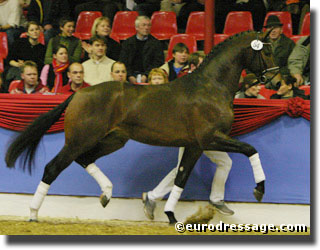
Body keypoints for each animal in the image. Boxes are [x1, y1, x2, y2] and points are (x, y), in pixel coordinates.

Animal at [5, 30, 280, 224]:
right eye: (266, 52)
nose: (275, 80)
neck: (211, 87)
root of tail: (78, 93)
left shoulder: (196, 145)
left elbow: (181, 176)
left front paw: (170, 215)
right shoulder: (209, 139)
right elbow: (251, 149)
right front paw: (259, 190)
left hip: (113, 140)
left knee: (85, 159)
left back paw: (107, 194)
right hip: (79, 139)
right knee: (53, 168)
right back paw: (33, 213)